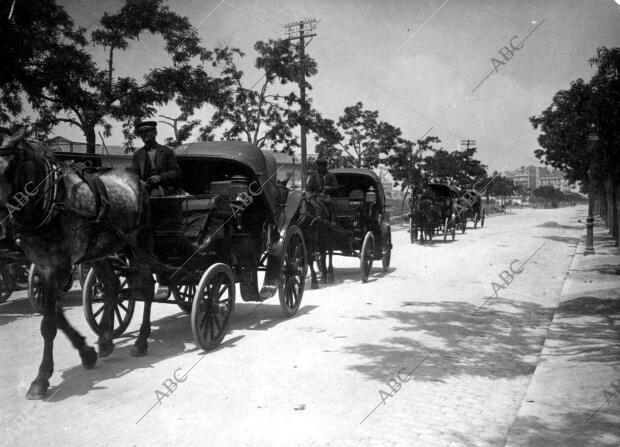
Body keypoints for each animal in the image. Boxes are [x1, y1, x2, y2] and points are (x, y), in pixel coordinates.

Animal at [0, 129, 155, 400]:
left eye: (7, 165)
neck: (50, 201)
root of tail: (136, 180)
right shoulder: (45, 267)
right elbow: (54, 315)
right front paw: (87, 352)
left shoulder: (58, 267)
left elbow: (49, 323)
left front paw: (41, 378)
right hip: (99, 252)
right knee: (113, 286)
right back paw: (105, 340)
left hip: (139, 242)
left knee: (145, 287)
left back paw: (141, 341)